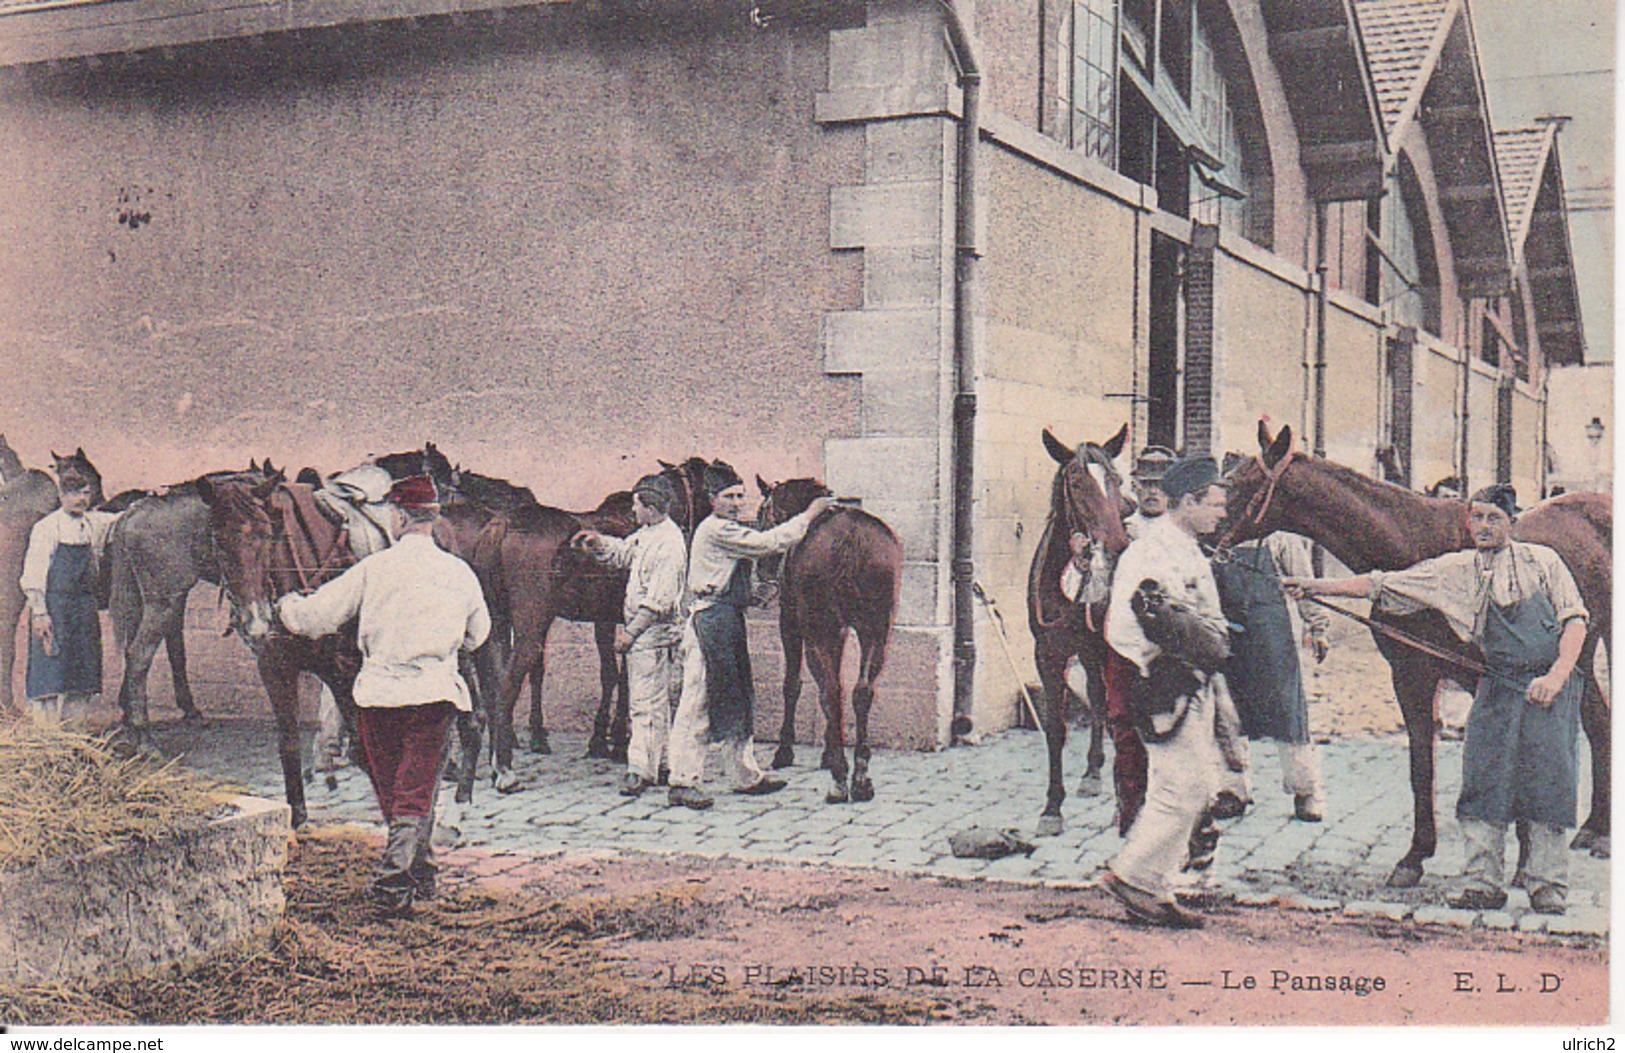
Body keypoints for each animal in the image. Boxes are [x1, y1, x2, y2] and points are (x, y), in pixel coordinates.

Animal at [757, 477, 910, 806]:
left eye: (763, 513)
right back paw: (860, 778)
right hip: (877, 631)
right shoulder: (842, 631)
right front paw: (828, 748)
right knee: (861, 691)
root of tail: (851, 538)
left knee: (830, 690)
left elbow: (794, 685)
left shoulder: (790, 622)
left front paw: (785, 750)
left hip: (819, 630)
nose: (762, 570)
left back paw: (840, 778)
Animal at [1027, 422, 1131, 832]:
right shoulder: (1049, 654)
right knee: (1098, 698)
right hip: (1087, 654)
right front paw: (1052, 808)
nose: (1117, 544)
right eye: (1075, 480)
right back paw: (1092, 772)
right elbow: (1056, 728)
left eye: (1116, 479)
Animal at [1222, 422, 1605, 884]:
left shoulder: (1485, 678)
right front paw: (1415, 856)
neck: (1414, 545)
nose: (1197, 531)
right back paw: (1593, 830)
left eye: (1240, 484)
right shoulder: (1410, 674)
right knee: (1600, 723)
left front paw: (1524, 859)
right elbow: (1421, 765)